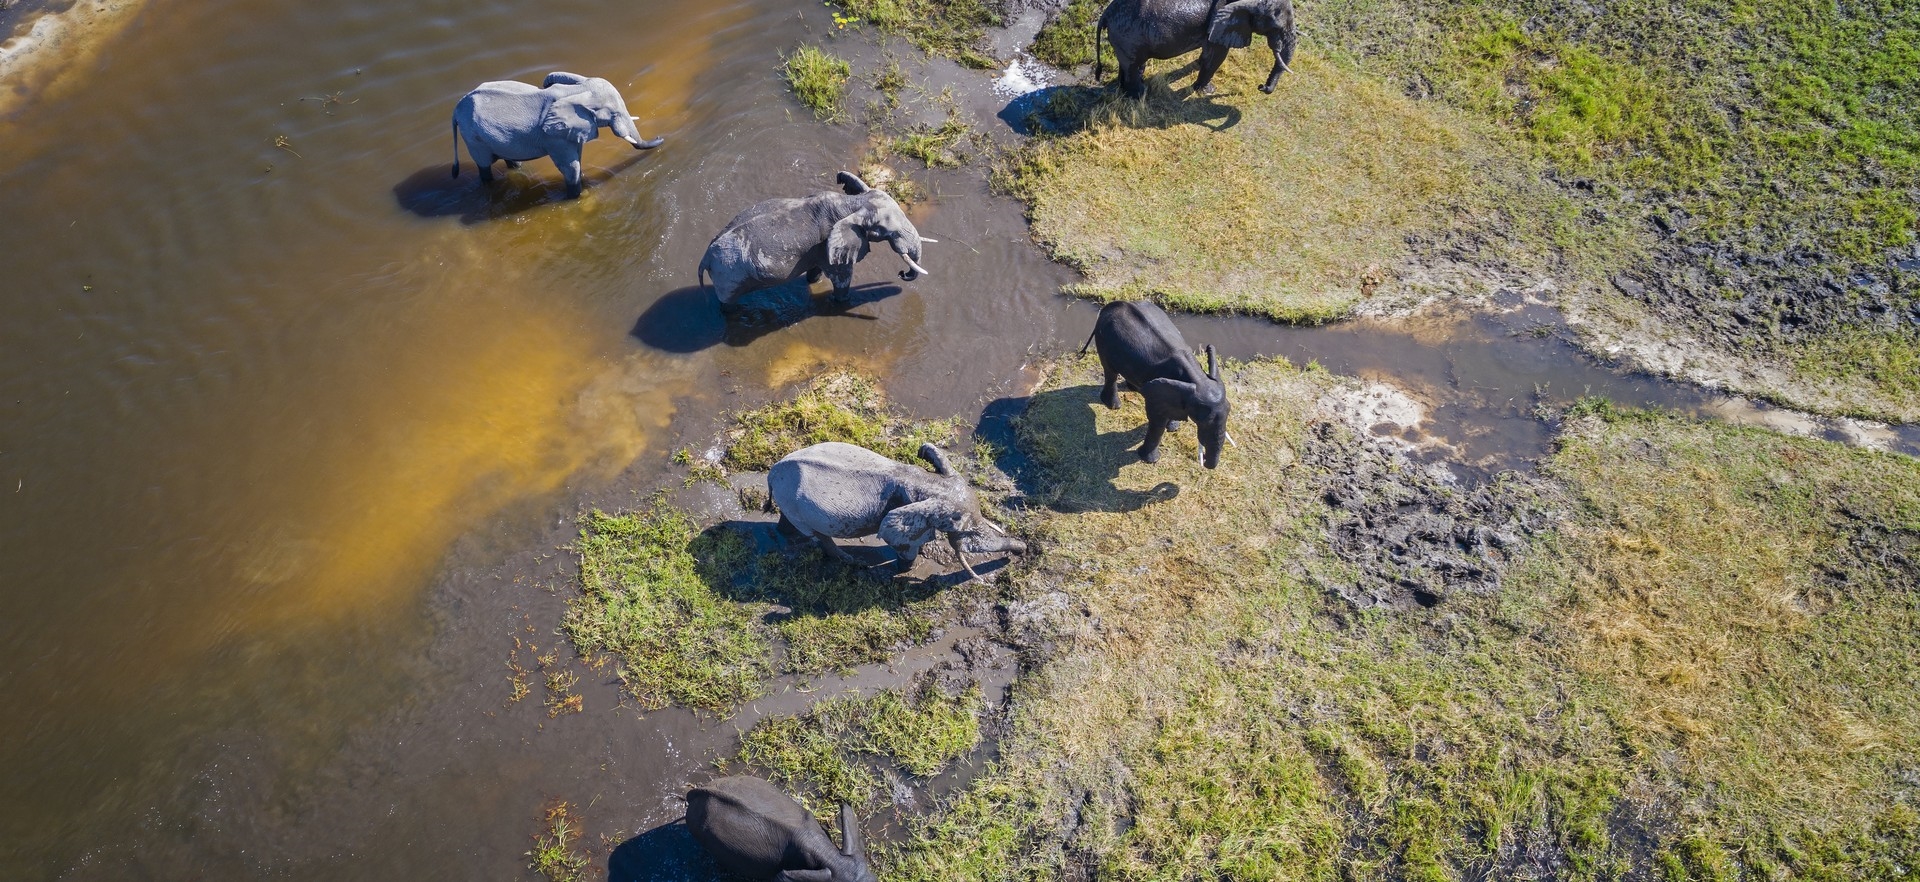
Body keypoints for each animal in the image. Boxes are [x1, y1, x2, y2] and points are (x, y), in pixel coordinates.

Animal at [450, 72, 664, 199]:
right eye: (613, 113)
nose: (661, 137)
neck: (577, 90)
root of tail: (457, 107)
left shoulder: (569, 131)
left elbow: (577, 159)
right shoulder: (554, 136)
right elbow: (570, 166)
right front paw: (575, 198)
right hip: (473, 137)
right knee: (484, 166)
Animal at [698, 171, 932, 317]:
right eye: (885, 230)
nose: (901, 274)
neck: (855, 203)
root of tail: (705, 258)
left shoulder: (819, 248)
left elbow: (816, 271)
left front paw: (814, 282)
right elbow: (842, 280)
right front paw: (844, 302)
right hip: (729, 276)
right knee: (727, 304)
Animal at [769, 441, 1026, 581]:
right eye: (956, 525)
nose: (1022, 551)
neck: (928, 482)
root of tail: (772, 473)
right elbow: (906, 548)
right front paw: (904, 571)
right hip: (796, 505)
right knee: (819, 536)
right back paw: (853, 562)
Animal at [1082, 300, 1235, 469]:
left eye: (1229, 410)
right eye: (1202, 421)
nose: (1206, 464)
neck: (1198, 379)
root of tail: (1110, 305)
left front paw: (1173, 428)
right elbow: (1157, 420)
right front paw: (1150, 460)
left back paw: (1132, 388)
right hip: (1103, 340)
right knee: (1110, 372)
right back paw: (1114, 405)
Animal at [1095, 0, 1297, 99]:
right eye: (1275, 26)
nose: (1261, 86)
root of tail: (1105, 14)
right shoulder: (1218, 22)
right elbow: (1217, 56)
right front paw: (1208, 91)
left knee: (1130, 64)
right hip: (1128, 35)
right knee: (1133, 65)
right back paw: (1139, 96)